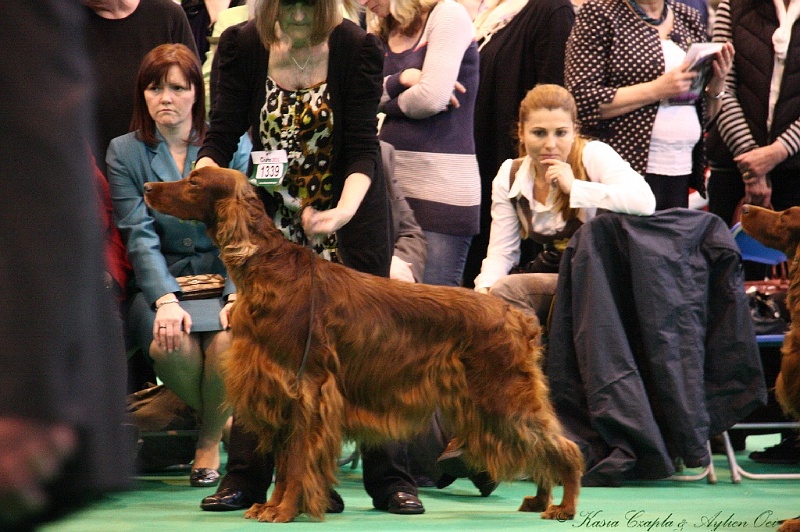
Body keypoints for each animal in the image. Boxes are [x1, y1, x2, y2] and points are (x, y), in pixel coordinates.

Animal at [144, 167, 580, 524]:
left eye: (194, 182)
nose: (147, 187)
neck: (269, 269)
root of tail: (516, 316)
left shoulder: (306, 390)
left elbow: (297, 461)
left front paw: (283, 510)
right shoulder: (281, 390)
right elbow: (286, 463)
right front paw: (273, 506)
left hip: (502, 396)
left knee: (564, 447)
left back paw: (564, 506)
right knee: (540, 448)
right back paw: (540, 500)